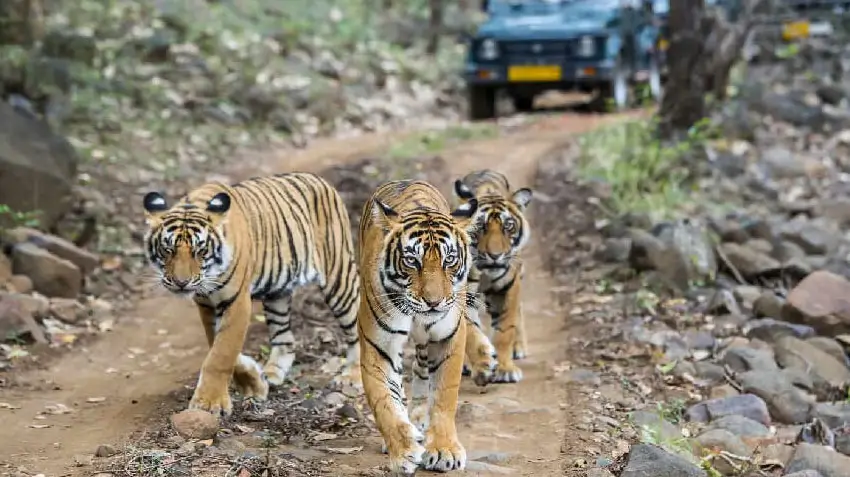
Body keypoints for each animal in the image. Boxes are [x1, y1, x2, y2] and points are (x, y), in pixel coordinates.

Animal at [141, 172, 361, 416]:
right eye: (167, 250)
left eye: (201, 251)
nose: (181, 283)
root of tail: (319, 180)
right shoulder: (206, 304)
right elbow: (217, 345)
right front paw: (254, 383)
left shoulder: (236, 301)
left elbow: (222, 353)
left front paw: (209, 403)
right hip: (277, 293)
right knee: (285, 338)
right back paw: (272, 374)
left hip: (339, 277)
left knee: (356, 328)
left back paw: (352, 376)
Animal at [357, 180, 478, 476]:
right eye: (412, 260)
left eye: (449, 259)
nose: (433, 302)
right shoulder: (379, 346)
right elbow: (385, 402)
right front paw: (403, 451)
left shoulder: (448, 338)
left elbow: (444, 396)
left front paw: (444, 450)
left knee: (422, 368)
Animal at [453, 169, 533, 384]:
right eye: (481, 227)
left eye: (508, 226)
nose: (495, 255)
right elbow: (471, 331)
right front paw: (483, 365)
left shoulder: (508, 287)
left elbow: (505, 330)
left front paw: (505, 369)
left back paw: (518, 348)